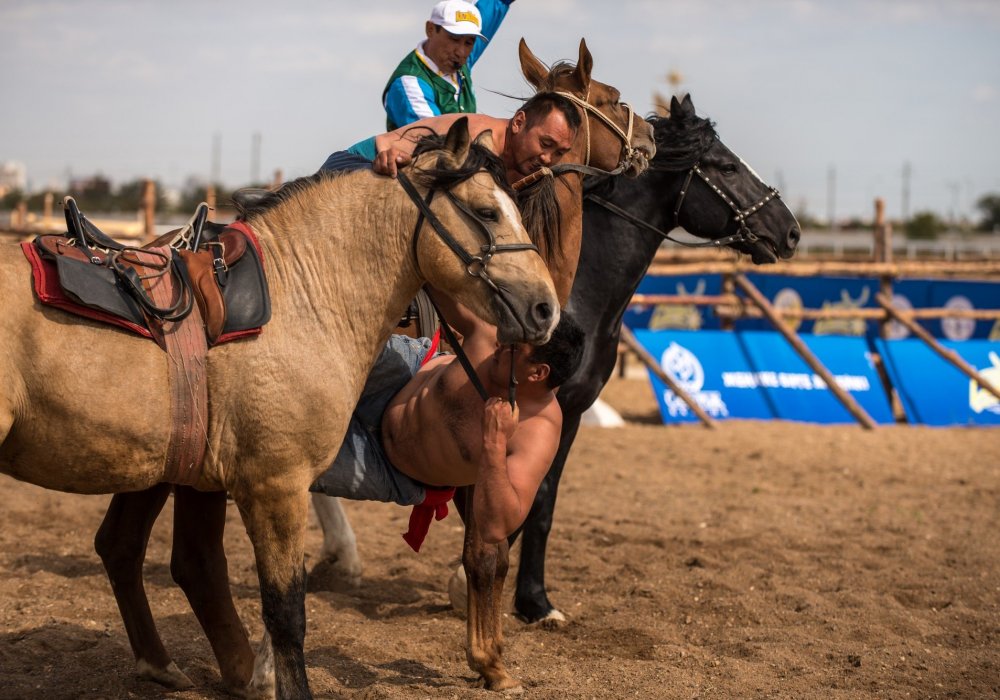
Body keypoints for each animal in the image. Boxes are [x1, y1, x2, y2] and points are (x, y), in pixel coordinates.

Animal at [0, 120, 560, 700]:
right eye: (487, 212)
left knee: (126, 547)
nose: (547, 308)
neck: (304, 295)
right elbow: (287, 611)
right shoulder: (276, 486)